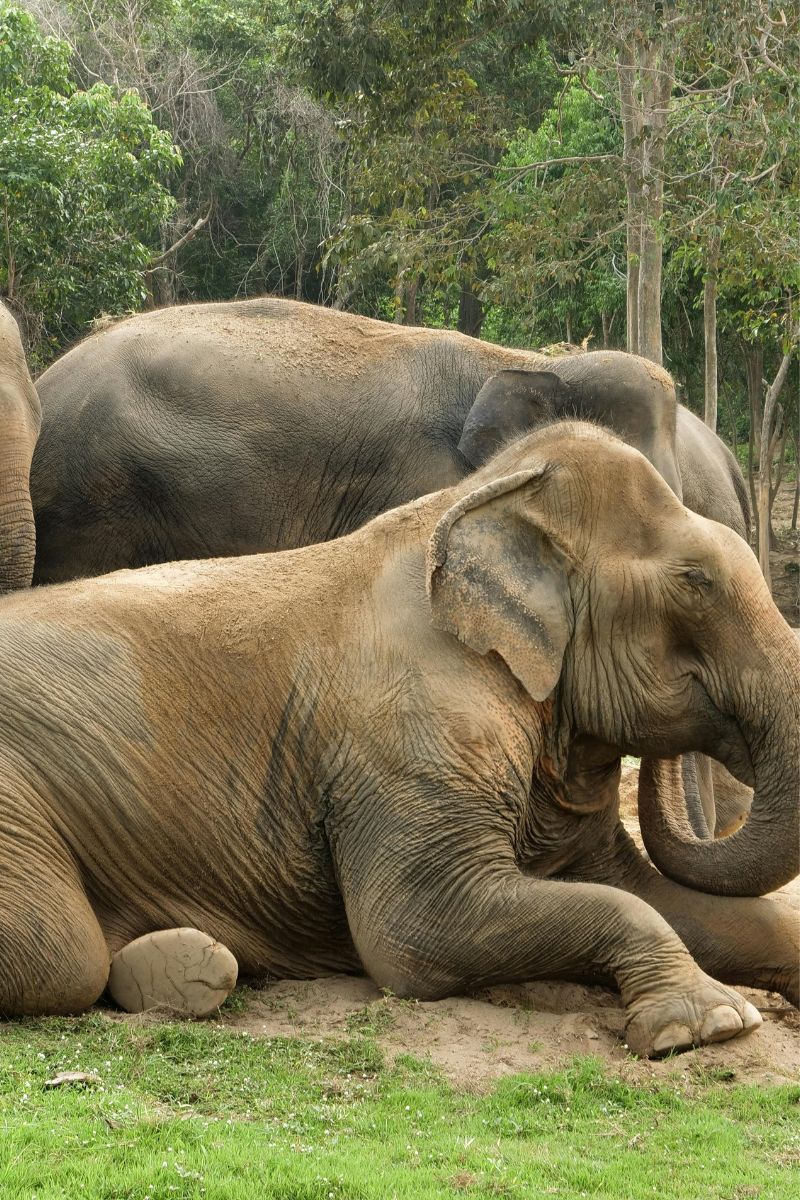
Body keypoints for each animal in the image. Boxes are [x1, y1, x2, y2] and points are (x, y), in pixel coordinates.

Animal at [1, 422, 796, 1059]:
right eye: (695, 582)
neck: (476, 500)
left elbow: (657, 895)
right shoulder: (411, 734)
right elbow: (418, 933)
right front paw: (707, 1026)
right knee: (60, 951)